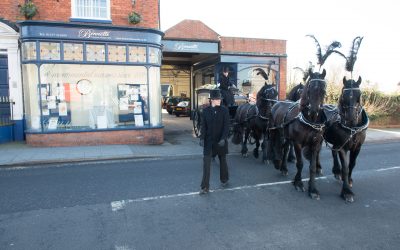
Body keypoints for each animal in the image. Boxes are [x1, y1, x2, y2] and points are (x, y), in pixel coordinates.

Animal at [268, 69, 328, 200]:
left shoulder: (315, 144)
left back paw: (284, 167)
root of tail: (277, 103)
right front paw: (298, 183)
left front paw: (313, 189)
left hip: (286, 136)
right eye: (309, 87)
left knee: (285, 149)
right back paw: (275, 160)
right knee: (272, 143)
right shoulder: (298, 143)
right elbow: (300, 163)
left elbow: (312, 167)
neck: (309, 120)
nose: (314, 111)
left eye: (324, 88)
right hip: (274, 130)